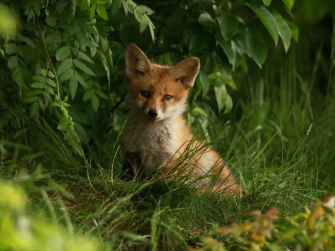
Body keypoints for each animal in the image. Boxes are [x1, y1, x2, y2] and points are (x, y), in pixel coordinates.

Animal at [122, 44, 243, 195]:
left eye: (168, 97)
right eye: (145, 93)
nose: (153, 113)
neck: (148, 138)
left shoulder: (172, 158)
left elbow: (156, 181)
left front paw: (143, 187)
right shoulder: (133, 152)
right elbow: (135, 177)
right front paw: (132, 185)